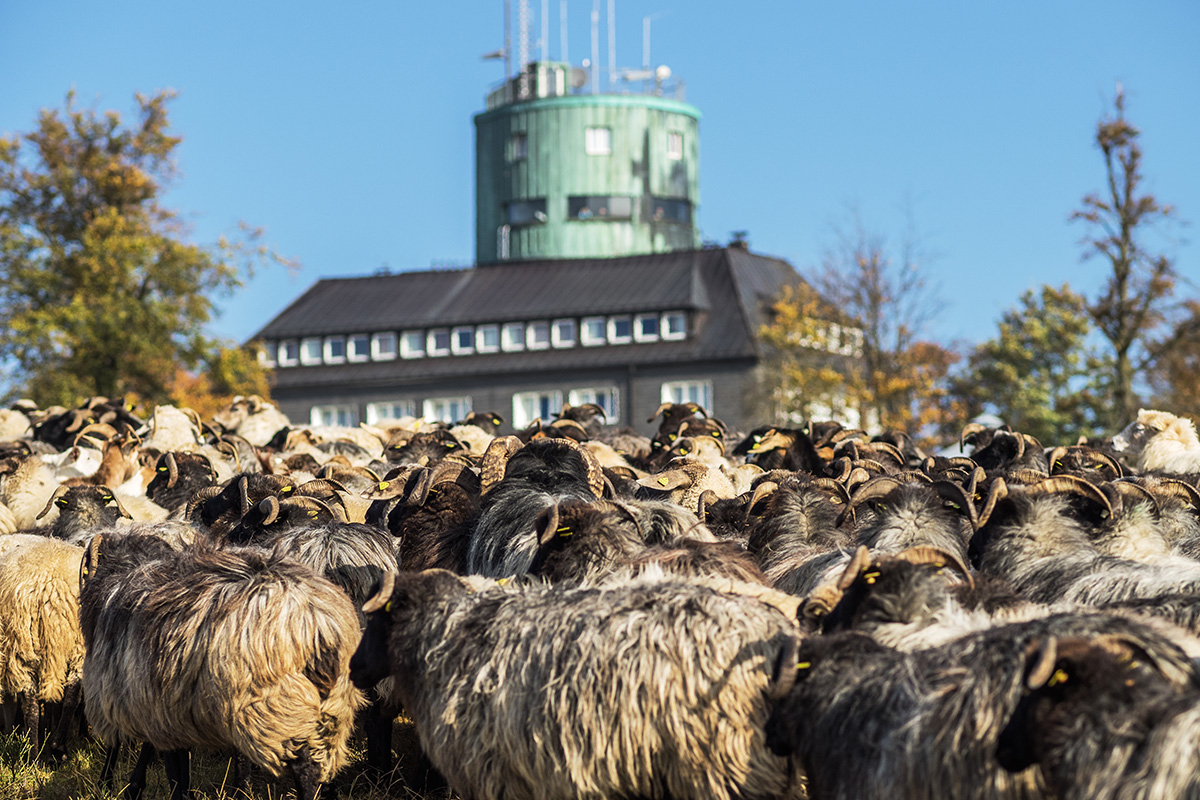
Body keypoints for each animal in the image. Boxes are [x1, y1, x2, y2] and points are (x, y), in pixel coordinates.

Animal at [81, 532, 364, 800]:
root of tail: (317, 623)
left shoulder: (154, 706)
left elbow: (171, 767)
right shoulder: (172, 706)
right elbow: (178, 762)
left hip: (274, 703)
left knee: (305, 766)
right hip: (332, 705)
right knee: (324, 761)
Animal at [350, 568, 801, 800]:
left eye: (376, 619)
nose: (353, 668)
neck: (444, 633)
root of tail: (779, 637)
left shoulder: (496, 772)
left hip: (721, 767)